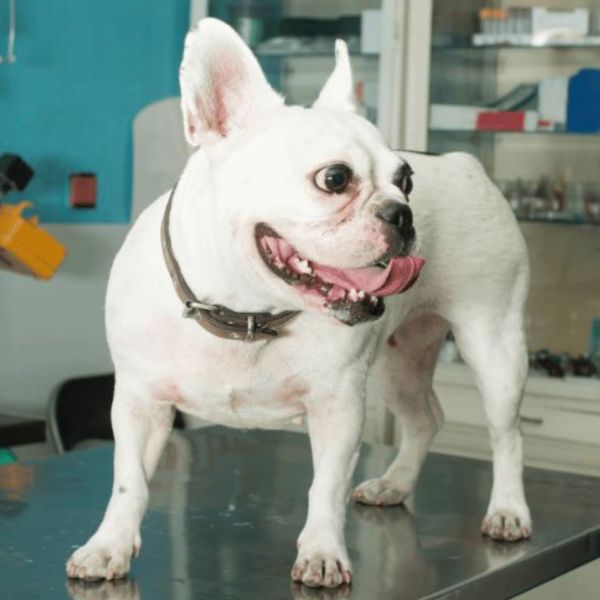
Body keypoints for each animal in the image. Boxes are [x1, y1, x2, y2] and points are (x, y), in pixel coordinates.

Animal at [68, 17, 532, 584]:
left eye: (406, 180)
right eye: (335, 178)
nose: (402, 212)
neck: (246, 312)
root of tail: (467, 163)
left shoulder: (339, 407)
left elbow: (325, 487)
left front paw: (323, 553)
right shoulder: (139, 402)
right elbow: (128, 480)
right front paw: (107, 545)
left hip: (494, 343)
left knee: (506, 434)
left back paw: (507, 510)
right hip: (399, 362)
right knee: (426, 419)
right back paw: (394, 484)